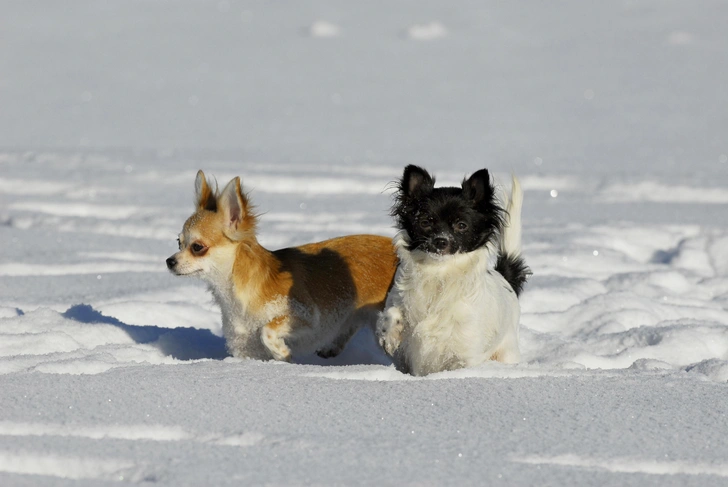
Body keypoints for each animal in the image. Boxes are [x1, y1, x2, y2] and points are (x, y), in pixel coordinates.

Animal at [166, 172, 398, 362]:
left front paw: (281, 352)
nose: (169, 261)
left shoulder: (306, 317)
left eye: (197, 247)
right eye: (178, 242)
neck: (235, 295)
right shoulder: (247, 350)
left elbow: (266, 330)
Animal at [376, 166, 528, 376]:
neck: (439, 273)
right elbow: (391, 312)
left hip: (507, 352)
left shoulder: (465, 355)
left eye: (461, 225)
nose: (441, 241)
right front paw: (390, 336)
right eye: (425, 222)